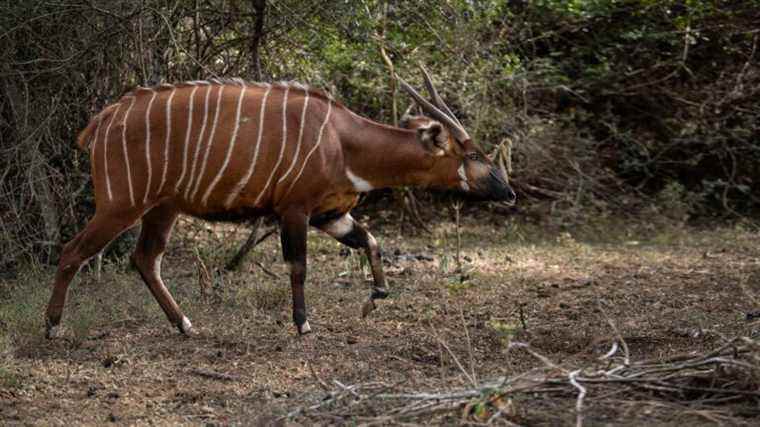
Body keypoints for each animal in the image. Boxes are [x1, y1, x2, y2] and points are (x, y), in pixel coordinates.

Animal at [46, 67, 516, 338]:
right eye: (475, 155)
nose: (508, 191)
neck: (344, 141)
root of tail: (100, 123)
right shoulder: (296, 209)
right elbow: (299, 266)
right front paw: (303, 324)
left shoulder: (331, 213)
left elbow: (370, 241)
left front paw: (374, 298)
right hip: (121, 204)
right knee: (73, 252)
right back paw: (52, 327)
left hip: (163, 207)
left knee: (146, 259)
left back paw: (185, 325)